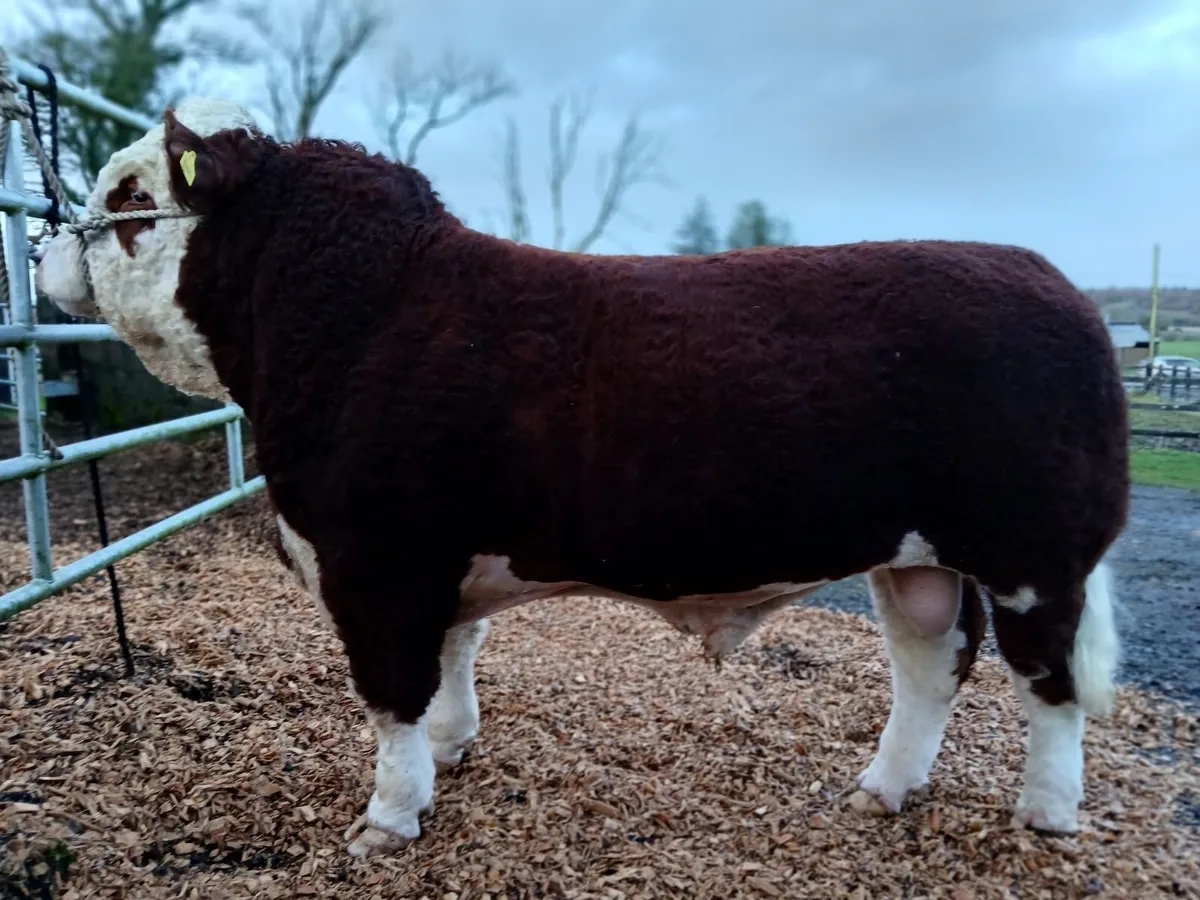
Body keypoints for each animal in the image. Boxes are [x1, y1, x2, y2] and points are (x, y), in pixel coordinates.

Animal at [34, 98, 1129, 858]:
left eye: (125, 196)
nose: (44, 244)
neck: (349, 316)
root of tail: (1058, 283)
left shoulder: (374, 560)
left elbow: (391, 697)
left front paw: (387, 819)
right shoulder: (439, 560)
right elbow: (454, 661)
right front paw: (453, 749)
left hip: (1037, 555)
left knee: (1048, 684)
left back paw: (1045, 813)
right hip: (915, 558)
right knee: (932, 663)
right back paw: (882, 788)